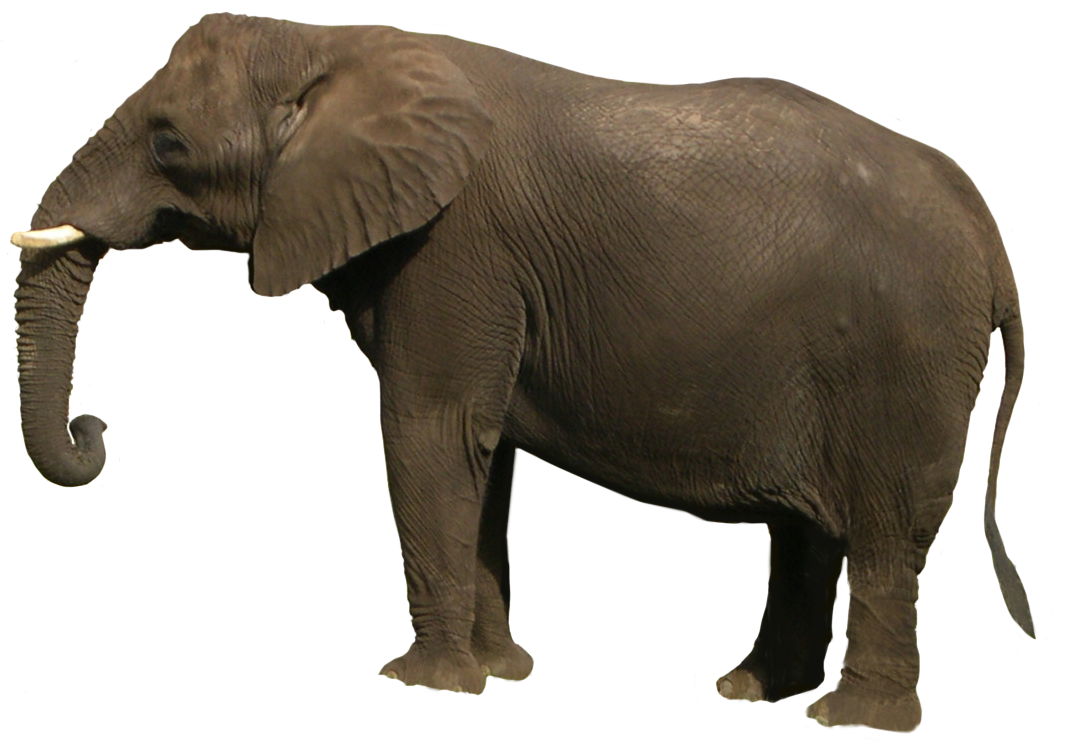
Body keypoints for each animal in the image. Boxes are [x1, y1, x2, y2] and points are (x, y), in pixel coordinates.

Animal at [11, 13, 1037, 733]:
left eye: (168, 145)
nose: (98, 429)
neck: (332, 43)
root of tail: (990, 237)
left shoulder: (453, 250)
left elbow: (425, 432)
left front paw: (425, 686)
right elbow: (484, 451)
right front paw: (502, 673)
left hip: (907, 355)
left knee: (885, 533)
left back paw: (850, 720)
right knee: (809, 531)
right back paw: (750, 691)